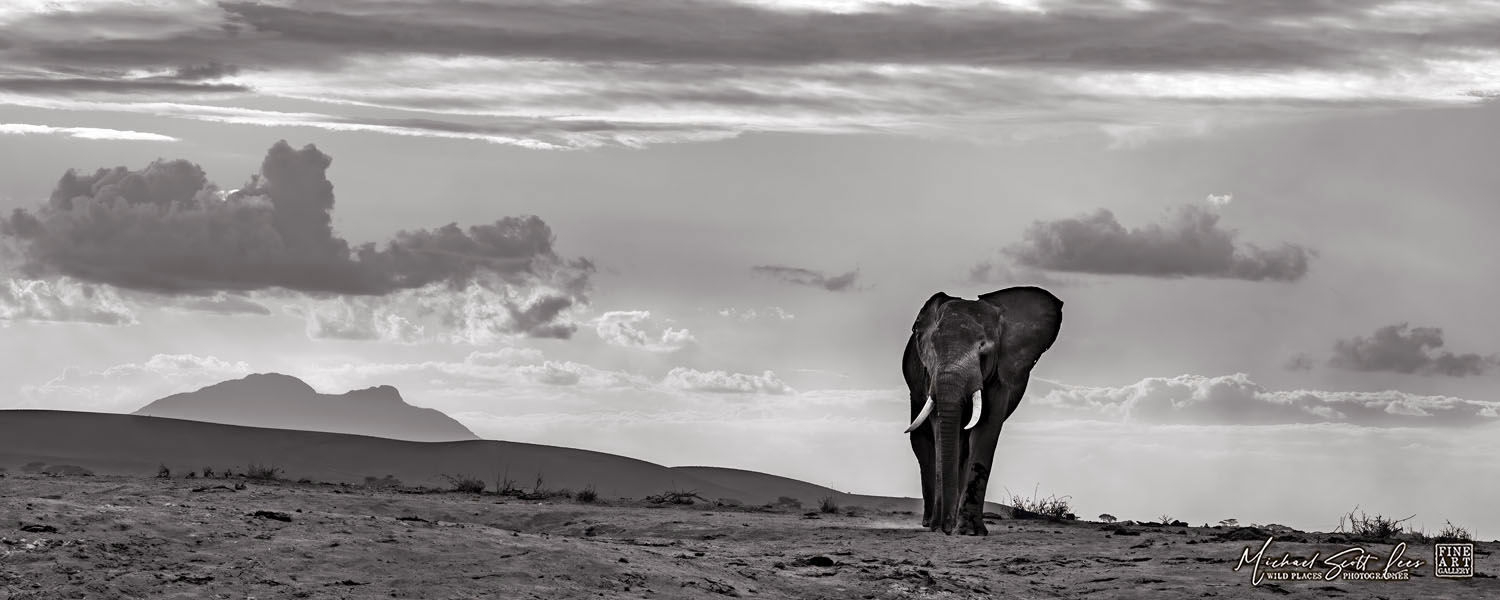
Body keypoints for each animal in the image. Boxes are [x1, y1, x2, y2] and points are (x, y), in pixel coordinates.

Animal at [902, 286, 1062, 535]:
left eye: (983, 351)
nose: (946, 528)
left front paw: (969, 531)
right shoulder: (930, 375)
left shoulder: (1002, 371)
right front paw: (943, 527)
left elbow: (987, 425)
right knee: (923, 444)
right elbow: (940, 430)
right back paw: (929, 522)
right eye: (932, 350)